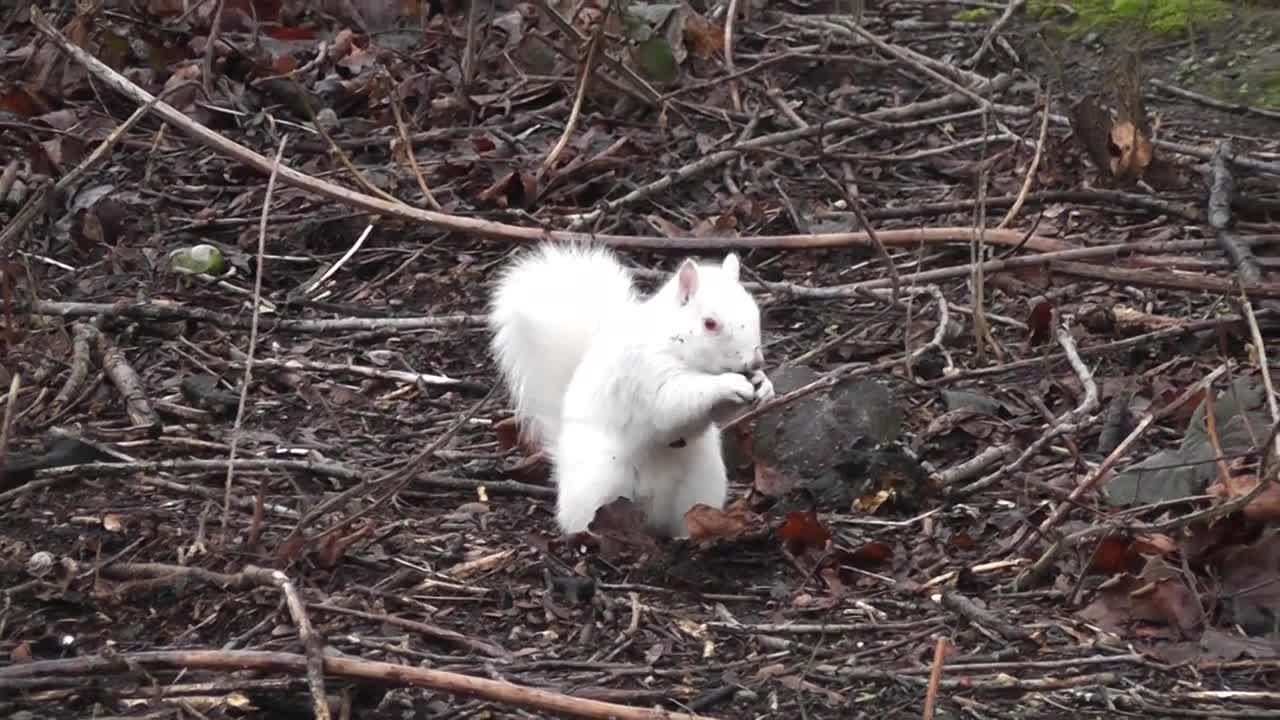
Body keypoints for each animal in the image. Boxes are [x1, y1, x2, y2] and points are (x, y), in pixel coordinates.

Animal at [486, 243, 768, 535]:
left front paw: (764, 384)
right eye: (710, 323)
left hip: (701, 484)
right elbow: (673, 402)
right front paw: (728, 384)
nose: (755, 362)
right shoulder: (644, 372)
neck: (670, 339)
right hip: (602, 480)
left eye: (754, 311)